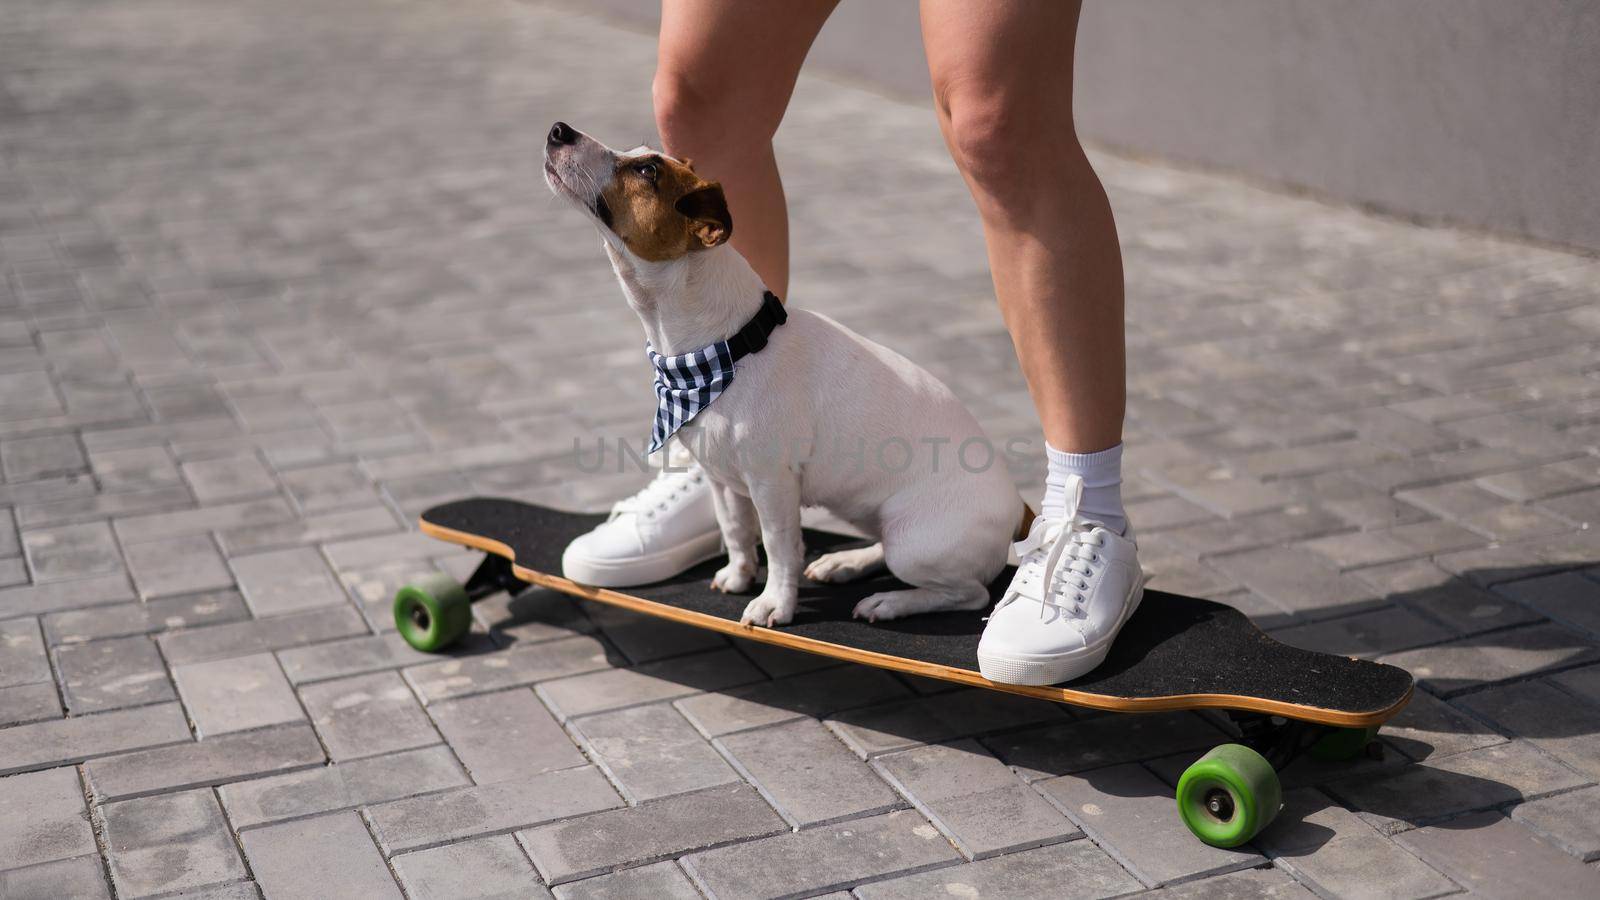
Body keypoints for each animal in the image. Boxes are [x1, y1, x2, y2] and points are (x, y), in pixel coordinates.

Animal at [547, 122, 1024, 627]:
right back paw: (846, 562)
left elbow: (777, 546)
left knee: (968, 593)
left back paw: (891, 601)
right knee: (884, 547)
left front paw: (774, 601)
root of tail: (1020, 508)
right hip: (879, 519)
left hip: (916, 542)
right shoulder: (722, 481)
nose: (559, 130)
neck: (725, 348)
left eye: (647, 171)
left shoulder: (771, 483)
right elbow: (735, 531)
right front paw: (739, 576)